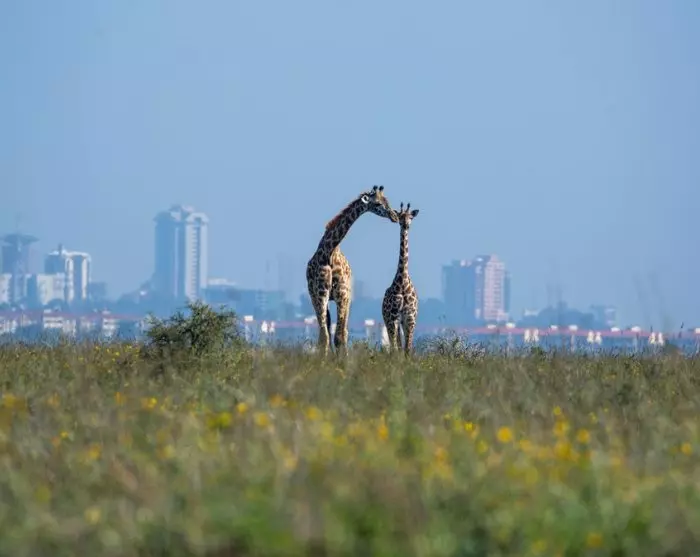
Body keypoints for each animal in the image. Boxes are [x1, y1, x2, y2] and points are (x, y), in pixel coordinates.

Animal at [306, 185, 398, 356]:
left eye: (387, 201)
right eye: (377, 204)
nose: (394, 216)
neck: (329, 251)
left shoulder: (342, 294)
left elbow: (339, 336)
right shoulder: (319, 295)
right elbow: (325, 337)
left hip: (346, 297)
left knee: (343, 331)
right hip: (321, 297)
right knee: (328, 330)